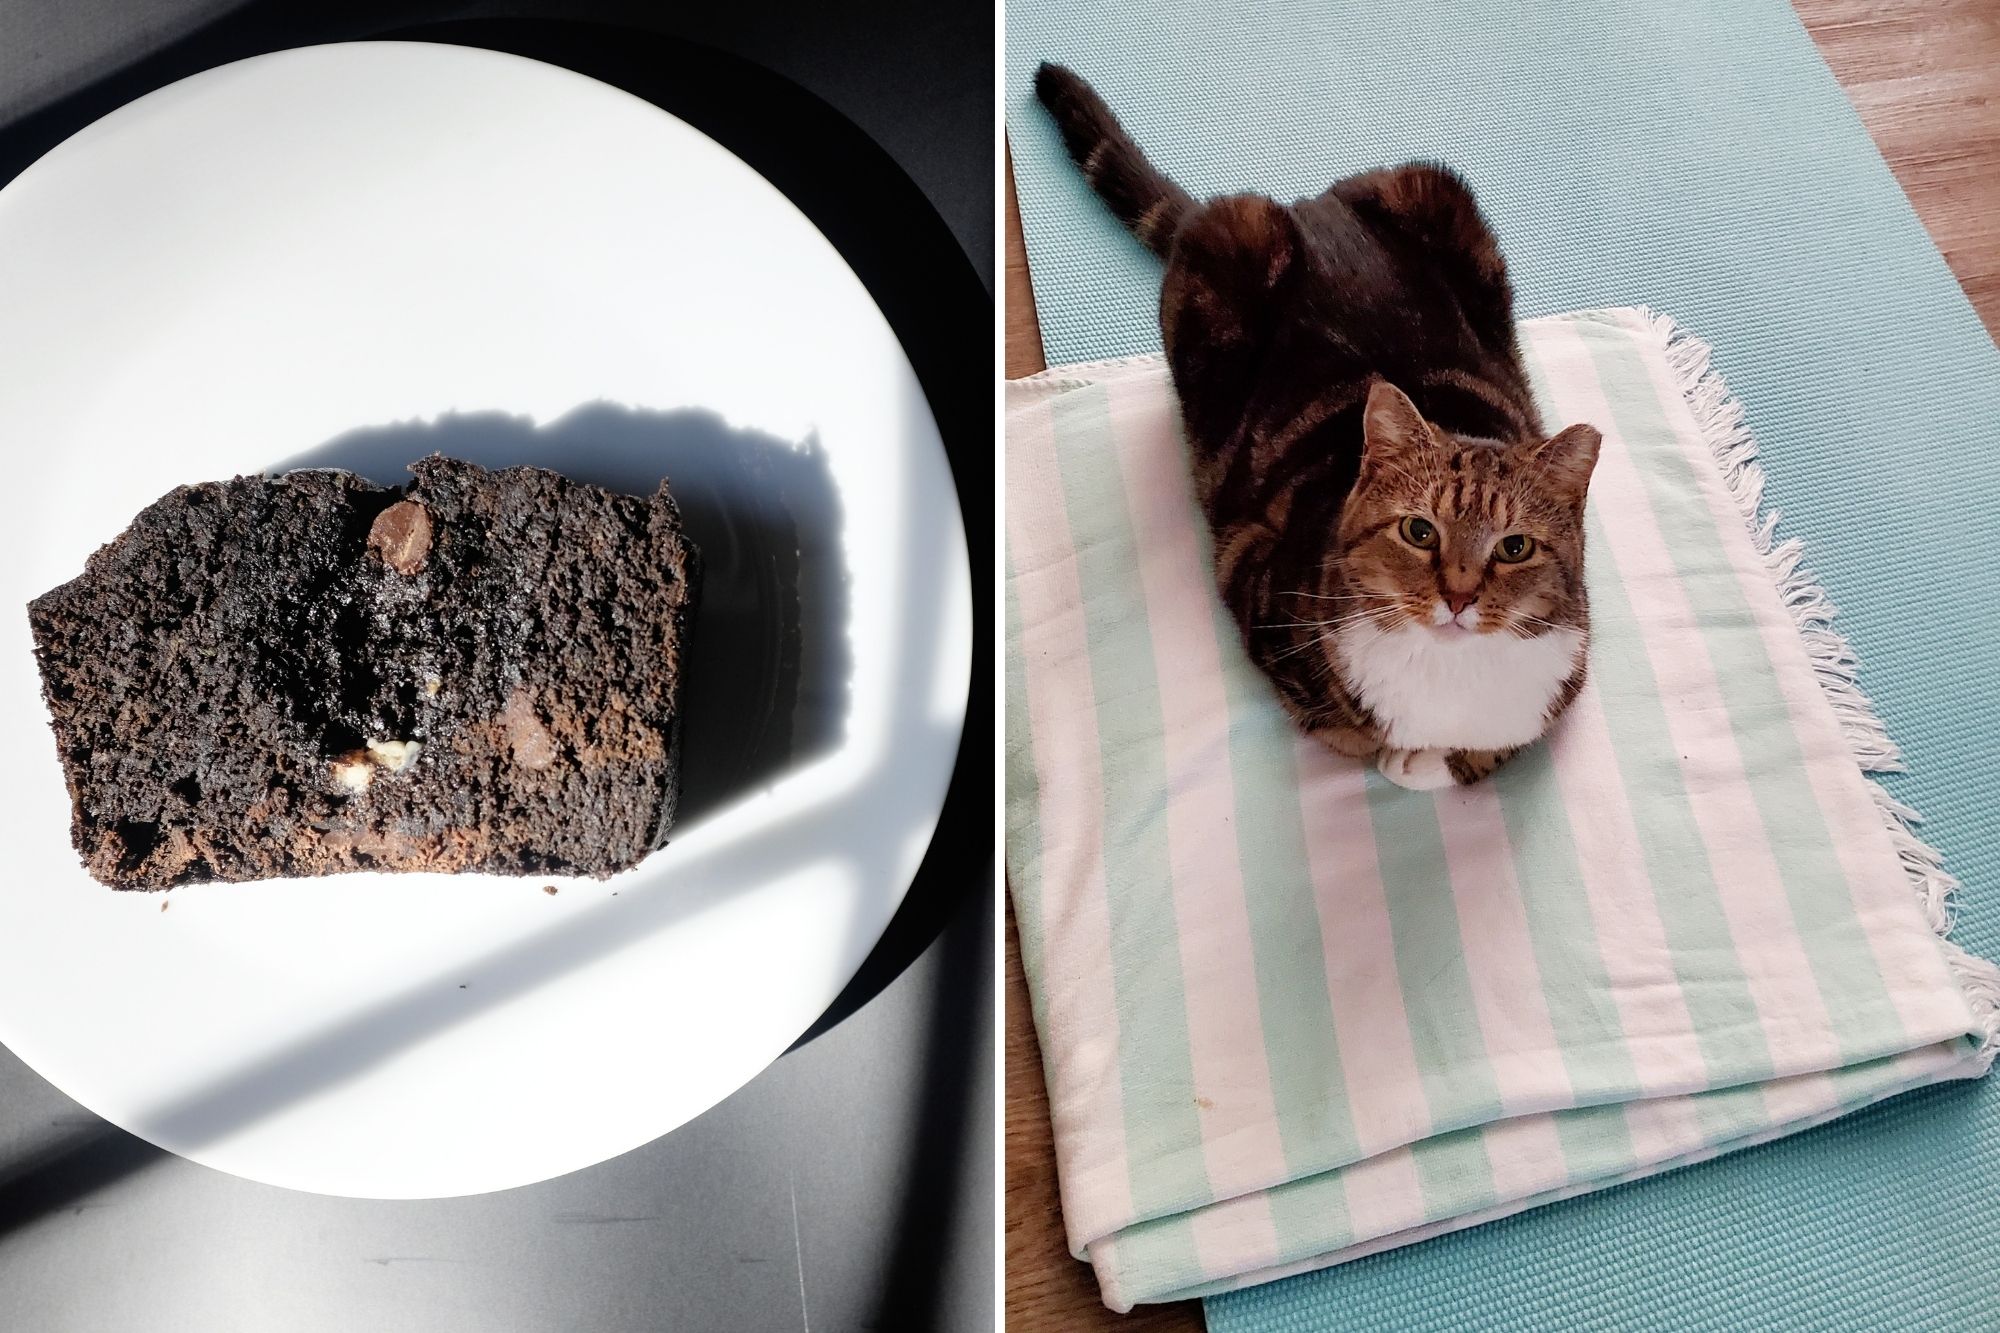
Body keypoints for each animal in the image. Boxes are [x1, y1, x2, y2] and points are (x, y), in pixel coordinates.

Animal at [1040, 62, 1600, 784]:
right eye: (1419, 531)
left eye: (1515, 547)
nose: (1459, 597)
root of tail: (1306, 206)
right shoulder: (1253, 575)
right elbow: (1349, 729)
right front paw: (1394, 750)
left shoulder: (1566, 670)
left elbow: (1487, 748)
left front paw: (1426, 759)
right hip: (1237, 248)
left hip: (1440, 198)